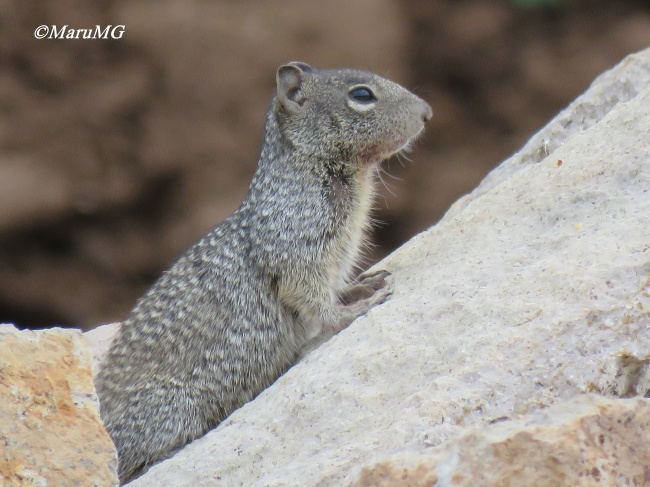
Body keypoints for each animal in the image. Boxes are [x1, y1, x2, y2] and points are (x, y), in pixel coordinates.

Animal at [95, 62, 430, 484]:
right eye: (362, 95)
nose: (427, 113)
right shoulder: (299, 250)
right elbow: (315, 301)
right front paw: (354, 310)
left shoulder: (337, 255)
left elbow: (336, 288)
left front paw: (365, 285)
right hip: (172, 411)